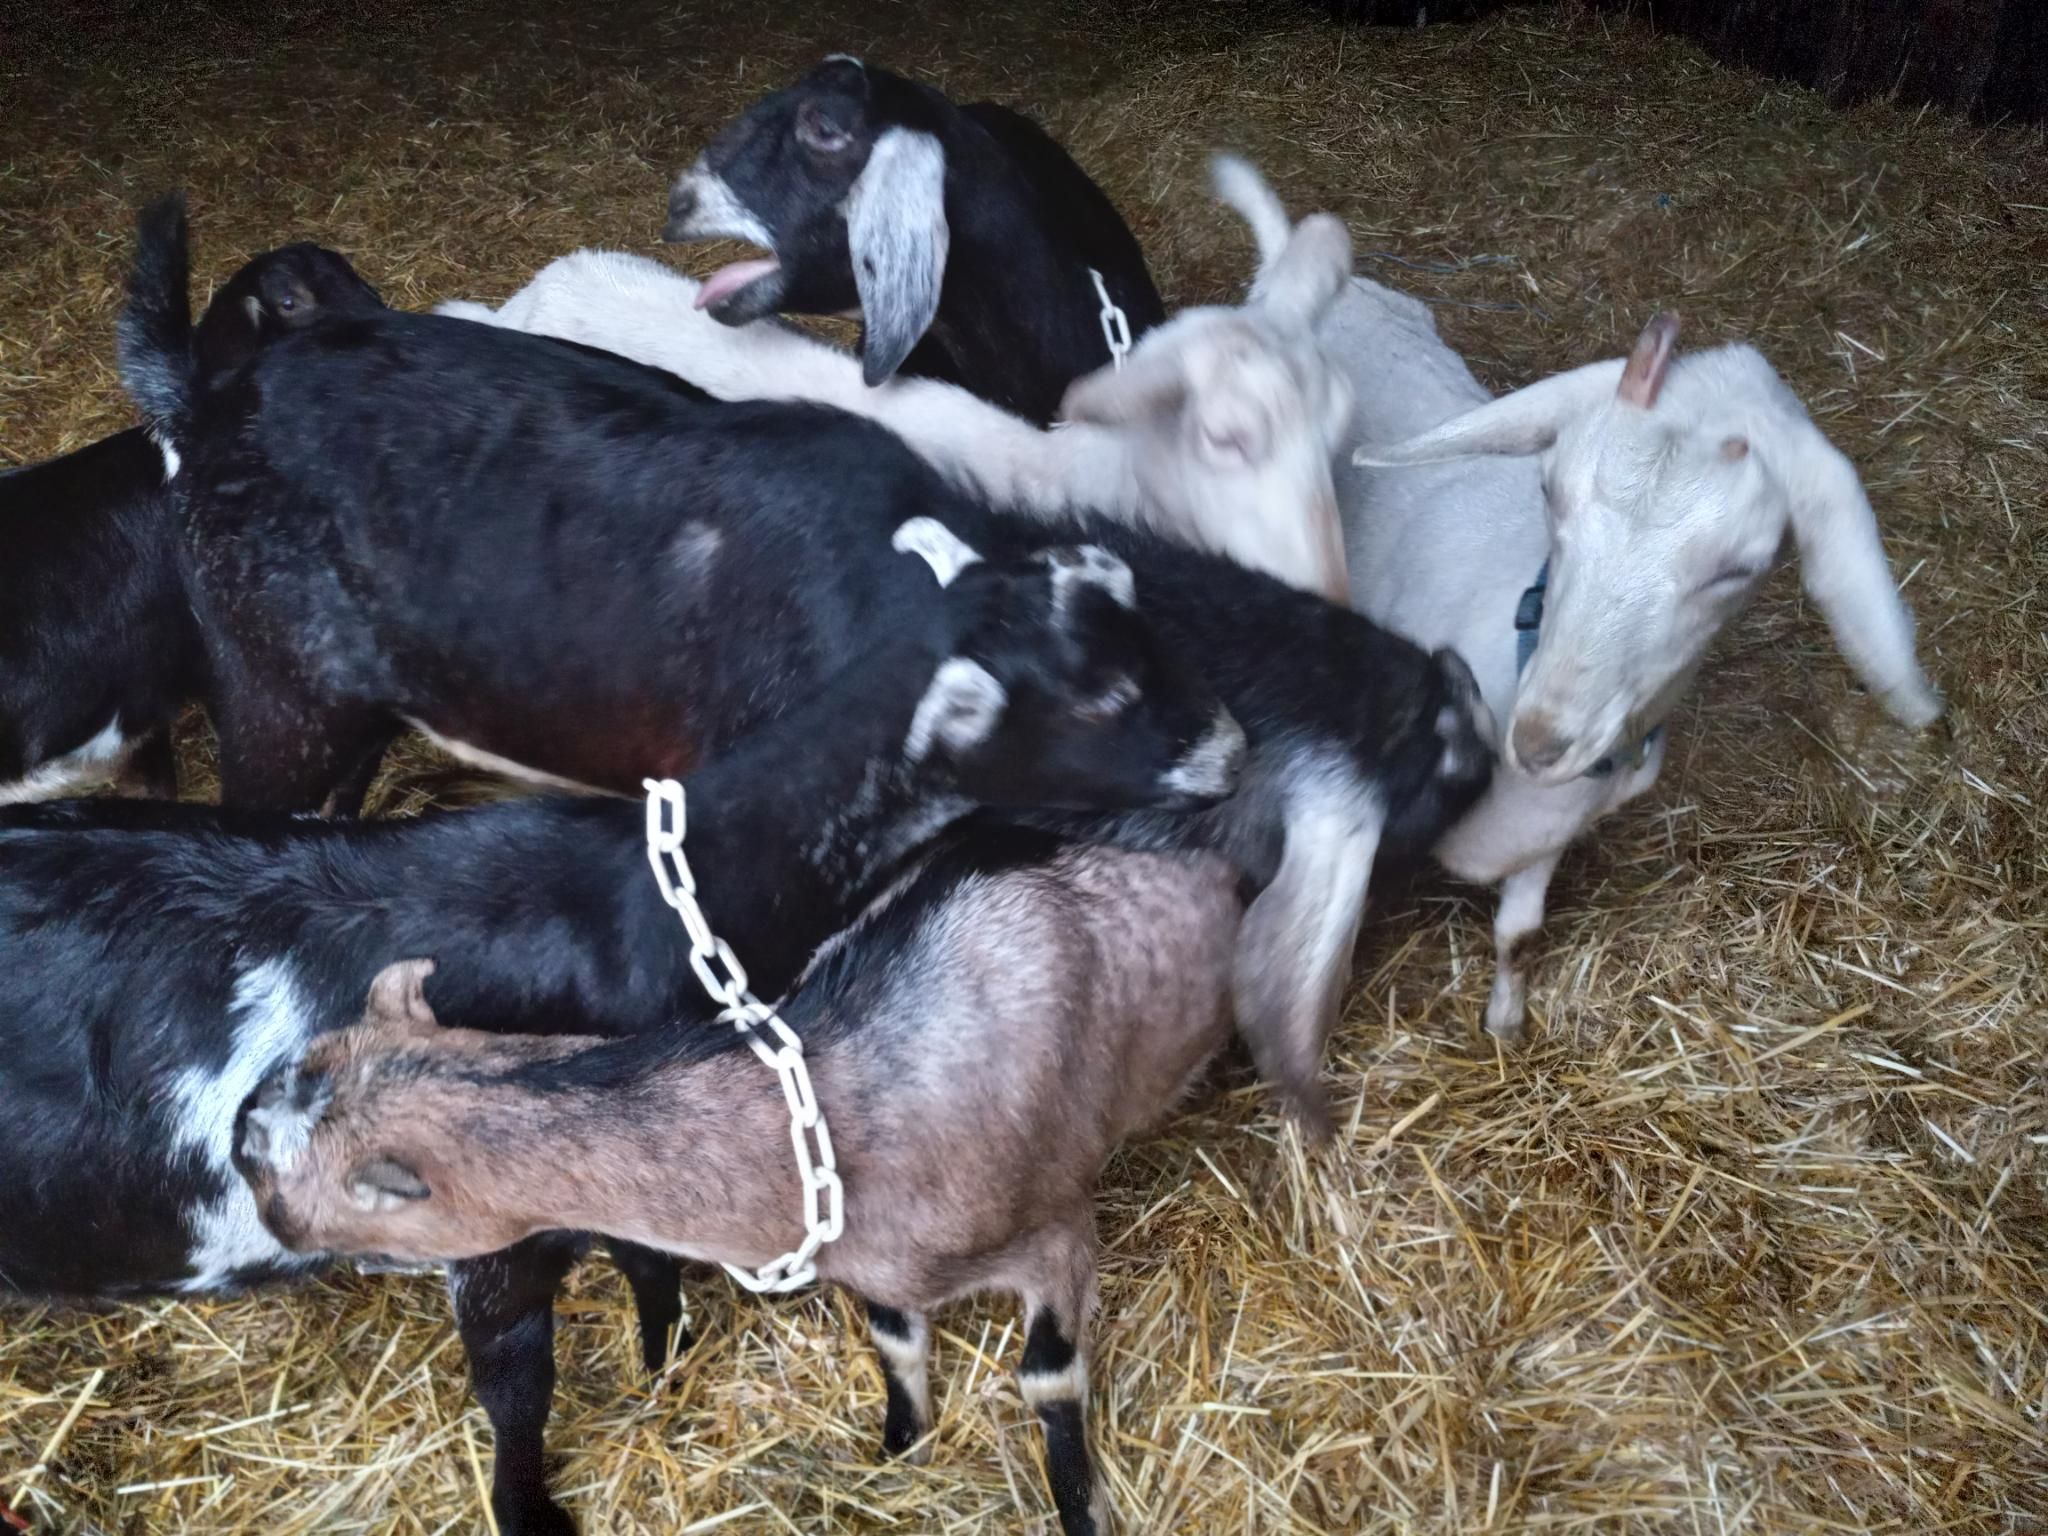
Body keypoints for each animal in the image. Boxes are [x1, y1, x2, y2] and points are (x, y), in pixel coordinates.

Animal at [0, 525, 1240, 1536]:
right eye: (1102, 692)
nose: (1231, 752)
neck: (655, 893)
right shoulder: (488, 1217)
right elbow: (519, 1381)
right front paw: (533, 1510)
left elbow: (652, 1256)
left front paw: (664, 1355)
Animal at [1218, 161, 1942, 1041]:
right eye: (1549, 490)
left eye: (1735, 569)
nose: (1538, 740)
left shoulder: (1550, 837)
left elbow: (1520, 934)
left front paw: (1505, 1022)